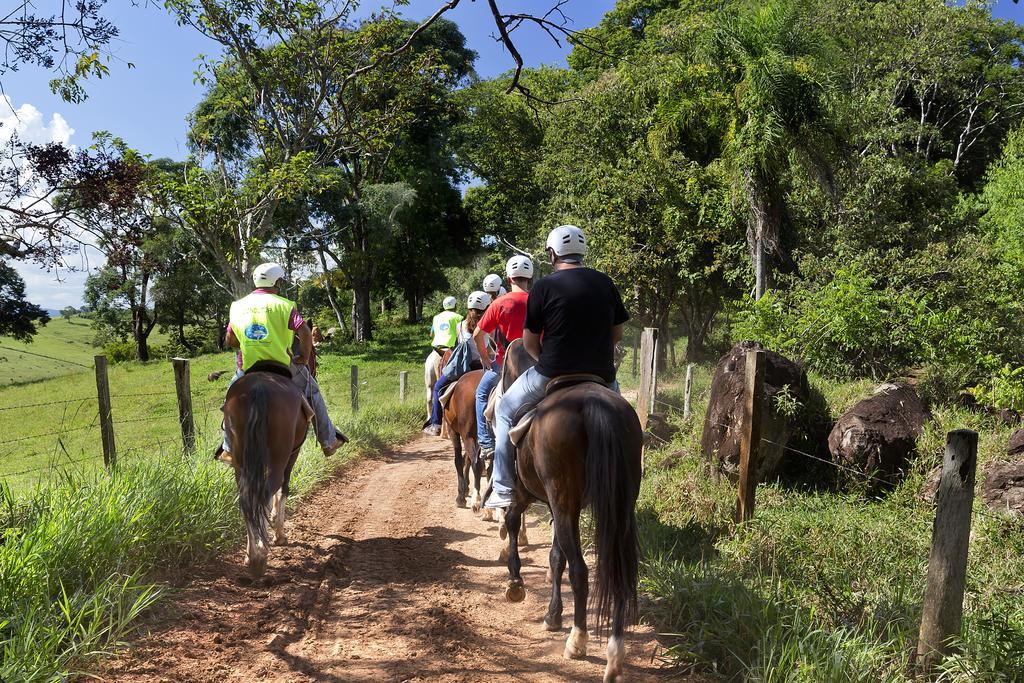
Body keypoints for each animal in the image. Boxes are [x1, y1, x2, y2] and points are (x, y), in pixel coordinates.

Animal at [224, 362, 315, 577]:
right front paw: (279, 533)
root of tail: (259, 388)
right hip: (280, 458)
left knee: (247, 500)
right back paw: (261, 555)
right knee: (265, 493)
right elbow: (284, 489)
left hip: (241, 464)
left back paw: (251, 556)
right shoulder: (292, 455)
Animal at [495, 339, 638, 679]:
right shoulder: (560, 507)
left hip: (562, 501)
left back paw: (577, 640)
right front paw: (553, 614)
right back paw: (615, 655)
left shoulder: (530, 497)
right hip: (618, 507)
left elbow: (514, 523)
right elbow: (556, 556)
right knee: (620, 573)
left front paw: (515, 582)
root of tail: (595, 405)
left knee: (581, 572)